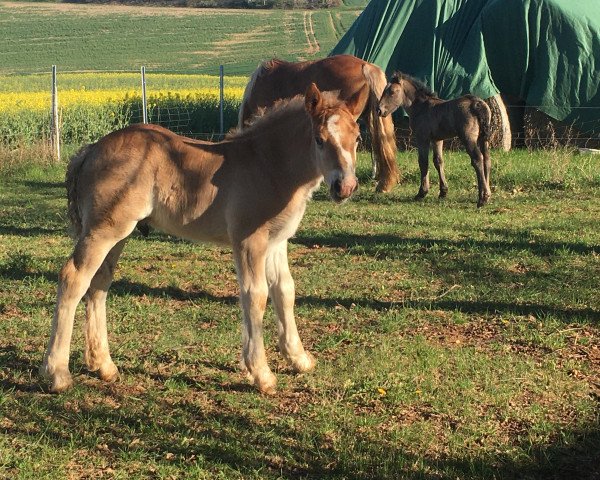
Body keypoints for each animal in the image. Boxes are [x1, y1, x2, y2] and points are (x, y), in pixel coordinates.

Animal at [42, 84, 360, 396]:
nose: (344, 186)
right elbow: (255, 296)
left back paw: (104, 366)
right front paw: (261, 374)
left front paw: (299, 358)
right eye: (319, 140)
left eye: (357, 138)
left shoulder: (276, 242)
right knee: (73, 278)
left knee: (99, 283)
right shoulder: (249, 241)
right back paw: (57, 373)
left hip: (117, 233)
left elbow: (285, 291)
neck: (268, 164)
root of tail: (90, 150)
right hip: (103, 231)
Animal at [380, 72, 492, 206]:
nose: (379, 110)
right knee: (487, 159)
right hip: (483, 138)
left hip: (468, 138)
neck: (421, 107)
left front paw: (422, 193)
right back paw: (488, 194)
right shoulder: (437, 139)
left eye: (392, 92)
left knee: (477, 159)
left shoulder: (422, 138)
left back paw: (482, 198)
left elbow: (423, 162)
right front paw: (443, 192)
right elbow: (438, 161)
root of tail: (476, 103)